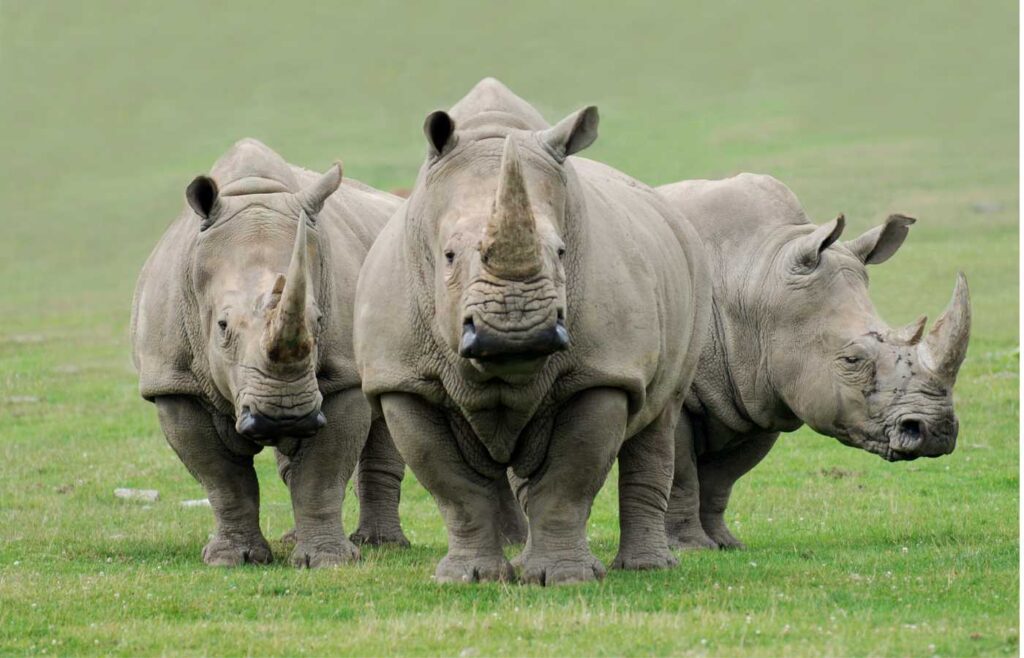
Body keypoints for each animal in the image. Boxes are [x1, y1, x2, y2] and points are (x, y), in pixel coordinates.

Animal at [133, 138, 407, 564]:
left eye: (319, 319)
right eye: (222, 326)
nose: (285, 414)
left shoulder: (343, 374)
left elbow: (323, 474)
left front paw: (328, 561)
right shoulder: (174, 383)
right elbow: (222, 479)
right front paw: (232, 559)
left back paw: (380, 544)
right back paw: (294, 539)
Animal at [354, 78, 712, 585]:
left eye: (561, 252)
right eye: (448, 256)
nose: (515, 332)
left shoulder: (599, 372)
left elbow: (568, 479)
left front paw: (564, 578)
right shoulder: (404, 380)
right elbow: (454, 488)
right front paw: (469, 578)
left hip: (693, 269)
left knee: (661, 414)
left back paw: (646, 568)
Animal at [655, 174, 966, 552]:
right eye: (852, 360)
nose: (937, 432)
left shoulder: (756, 391)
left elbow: (722, 478)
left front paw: (727, 545)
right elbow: (680, 474)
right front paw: (692, 548)